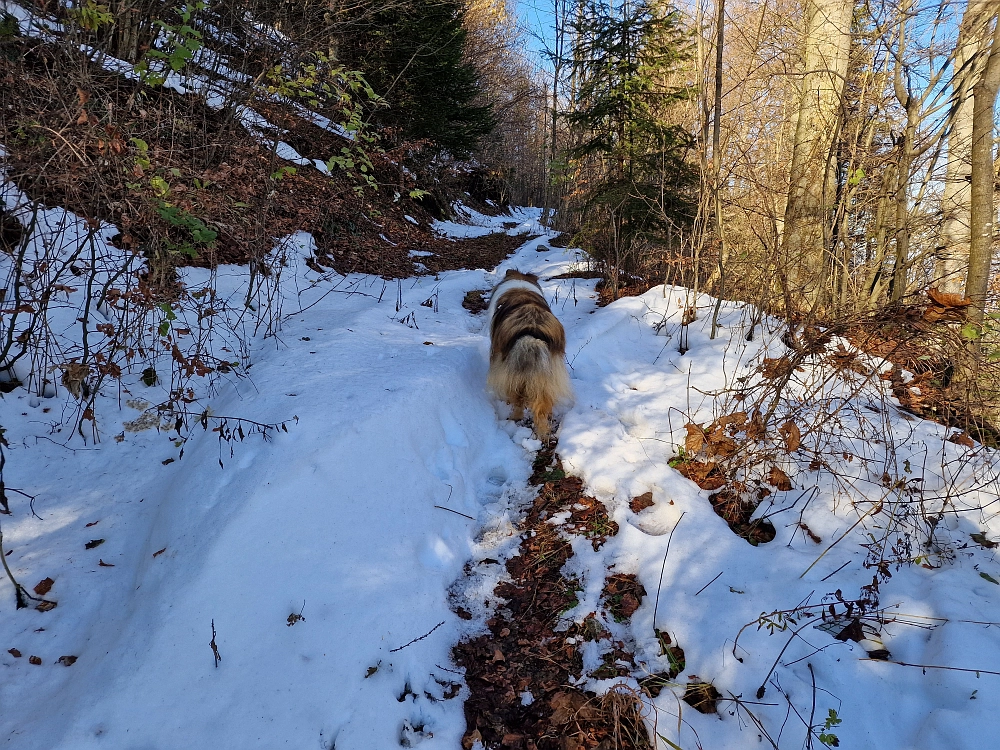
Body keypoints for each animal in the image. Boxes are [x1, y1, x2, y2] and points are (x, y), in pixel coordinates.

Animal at [484, 268, 572, 440]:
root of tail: (531, 332)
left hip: (512, 372)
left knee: (517, 399)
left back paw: (515, 417)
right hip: (549, 372)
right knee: (544, 404)